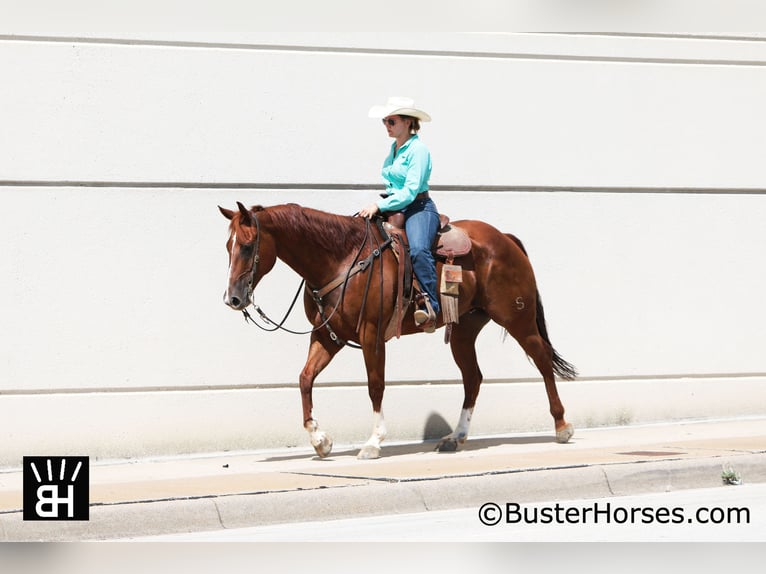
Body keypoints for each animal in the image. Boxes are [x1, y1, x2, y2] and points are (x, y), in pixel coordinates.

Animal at [216, 200, 576, 462]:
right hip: (464, 331)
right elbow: (305, 379)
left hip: (518, 320)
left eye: (247, 246)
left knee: (542, 360)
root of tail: (505, 239)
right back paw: (455, 437)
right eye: (227, 246)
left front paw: (373, 442)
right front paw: (320, 441)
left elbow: (375, 386)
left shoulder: (371, 334)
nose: (233, 298)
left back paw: (562, 426)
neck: (341, 258)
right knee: (473, 377)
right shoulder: (327, 336)